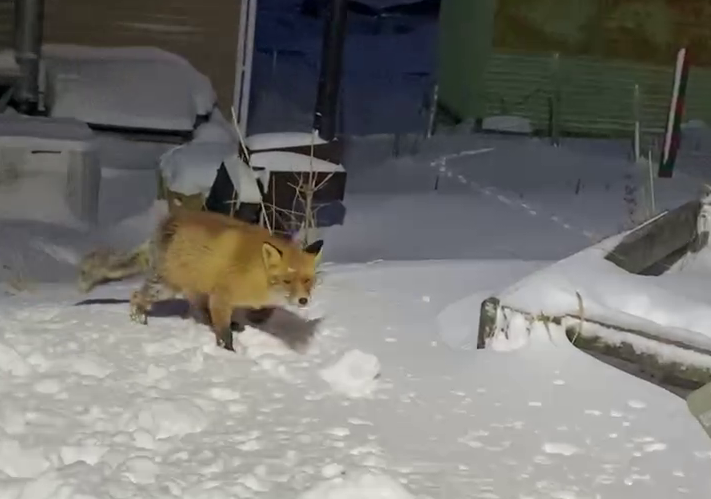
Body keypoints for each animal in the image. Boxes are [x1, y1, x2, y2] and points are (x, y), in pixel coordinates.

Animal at [78, 209, 324, 352]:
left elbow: (265, 310)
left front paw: (257, 318)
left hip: (195, 287)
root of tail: (164, 226)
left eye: (307, 280)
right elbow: (223, 332)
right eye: (287, 280)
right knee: (137, 295)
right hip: (167, 287)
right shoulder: (221, 297)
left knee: (199, 310)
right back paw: (139, 318)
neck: (255, 272)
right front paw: (228, 352)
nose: (303, 301)